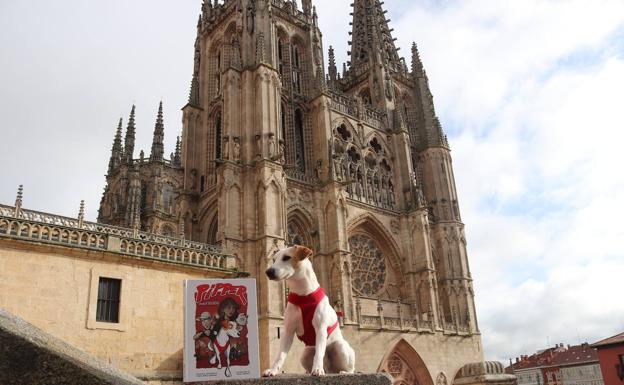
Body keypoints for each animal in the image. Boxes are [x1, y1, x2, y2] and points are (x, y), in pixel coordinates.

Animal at [260, 243, 356, 376]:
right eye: (274, 260)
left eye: (286, 257)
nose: (268, 271)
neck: (303, 295)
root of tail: (330, 369)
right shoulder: (288, 331)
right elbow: (280, 355)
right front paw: (273, 370)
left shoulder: (320, 328)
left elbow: (319, 353)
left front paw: (317, 369)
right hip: (305, 353)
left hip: (339, 346)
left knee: (350, 368)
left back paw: (342, 372)